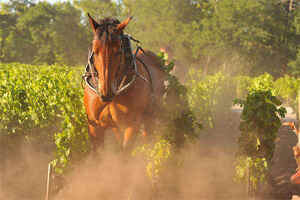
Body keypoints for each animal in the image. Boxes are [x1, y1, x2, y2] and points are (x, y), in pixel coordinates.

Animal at [83, 14, 165, 151]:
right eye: (95, 50)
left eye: (118, 51)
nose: (106, 93)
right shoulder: (94, 127)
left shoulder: (131, 125)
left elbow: (124, 152)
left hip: (150, 118)